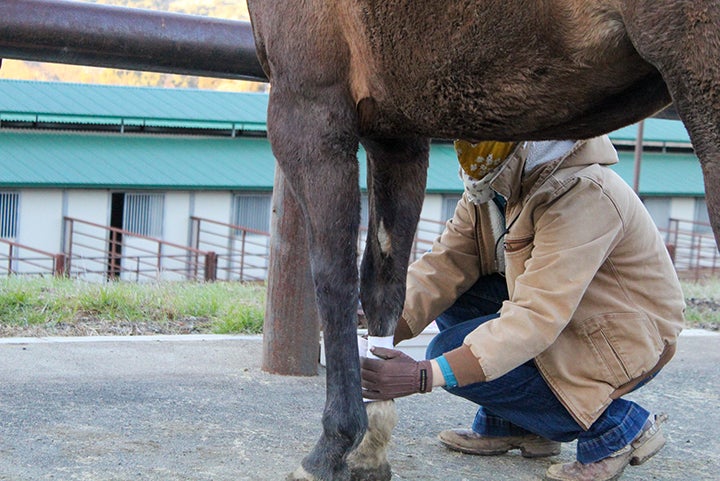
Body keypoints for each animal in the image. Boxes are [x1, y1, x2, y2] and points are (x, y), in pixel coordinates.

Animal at [245, 1, 719, 480]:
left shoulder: (310, 107)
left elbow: (334, 279)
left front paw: (333, 446)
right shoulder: (394, 131)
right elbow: (384, 282)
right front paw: (370, 447)